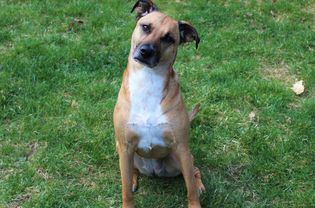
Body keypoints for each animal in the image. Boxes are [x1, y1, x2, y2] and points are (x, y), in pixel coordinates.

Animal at [113, 0, 205, 207]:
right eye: (146, 27)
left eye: (168, 38)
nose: (146, 51)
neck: (148, 81)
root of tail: (154, 171)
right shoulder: (125, 146)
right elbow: (125, 191)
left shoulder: (182, 147)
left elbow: (190, 189)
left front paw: (195, 200)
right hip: (123, 152)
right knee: (131, 172)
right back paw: (133, 179)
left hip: (180, 158)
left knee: (194, 171)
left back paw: (200, 185)